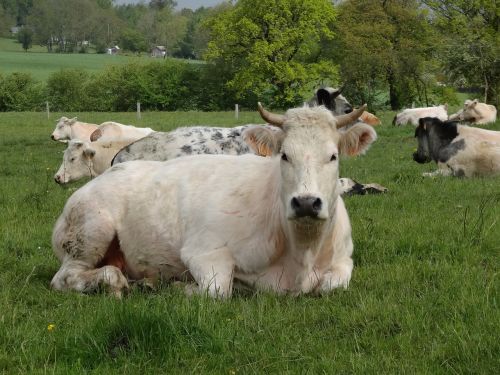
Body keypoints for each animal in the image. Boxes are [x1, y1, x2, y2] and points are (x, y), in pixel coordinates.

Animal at [49, 104, 376, 298]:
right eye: (284, 155)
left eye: (333, 156)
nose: (306, 203)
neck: (302, 251)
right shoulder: (204, 252)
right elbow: (217, 290)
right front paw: (180, 286)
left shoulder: (343, 261)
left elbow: (333, 285)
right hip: (91, 230)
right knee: (66, 277)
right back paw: (117, 281)